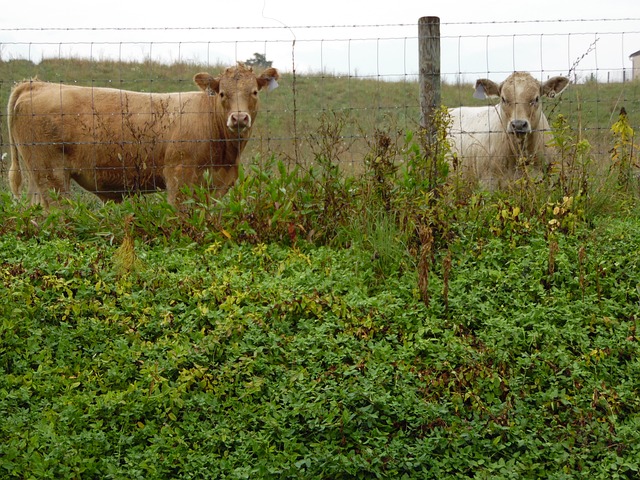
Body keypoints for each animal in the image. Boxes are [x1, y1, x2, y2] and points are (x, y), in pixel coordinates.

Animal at [6, 62, 278, 206]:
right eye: (222, 93)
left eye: (254, 92)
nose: (239, 118)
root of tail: (38, 85)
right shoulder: (179, 176)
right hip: (51, 175)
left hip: (38, 177)